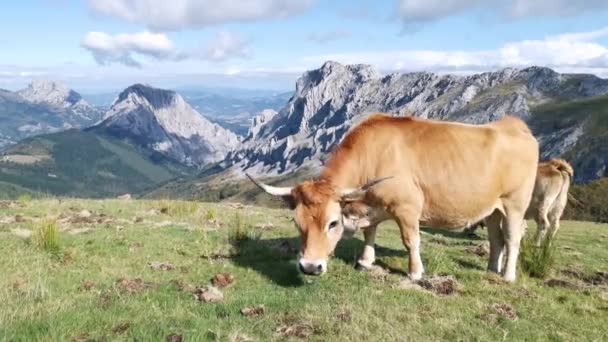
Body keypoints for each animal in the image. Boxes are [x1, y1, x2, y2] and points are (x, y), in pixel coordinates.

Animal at [247, 113, 536, 282]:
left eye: (333, 223)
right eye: (298, 223)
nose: (309, 267)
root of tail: (515, 125)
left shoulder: (407, 208)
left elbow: (411, 241)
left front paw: (416, 273)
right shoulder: (371, 207)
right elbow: (370, 233)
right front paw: (365, 261)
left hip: (515, 204)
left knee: (512, 238)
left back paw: (508, 276)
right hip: (492, 208)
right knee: (496, 239)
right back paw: (491, 269)